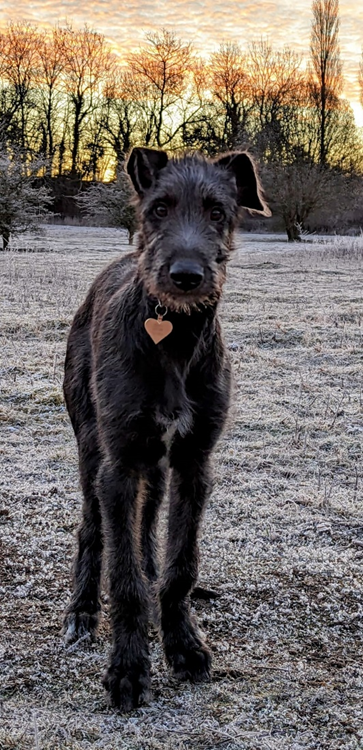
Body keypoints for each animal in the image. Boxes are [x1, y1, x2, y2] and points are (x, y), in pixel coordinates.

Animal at [62, 147, 268, 712]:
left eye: (218, 211)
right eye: (159, 208)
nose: (186, 276)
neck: (172, 336)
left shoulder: (193, 463)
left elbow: (180, 564)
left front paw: (183, 643)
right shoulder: (118, 465)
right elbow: (124, 576)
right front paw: (128, 668)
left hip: (154, 464)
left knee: (148, 524)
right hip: (92, 445)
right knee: (93, 528)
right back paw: (82, 610)